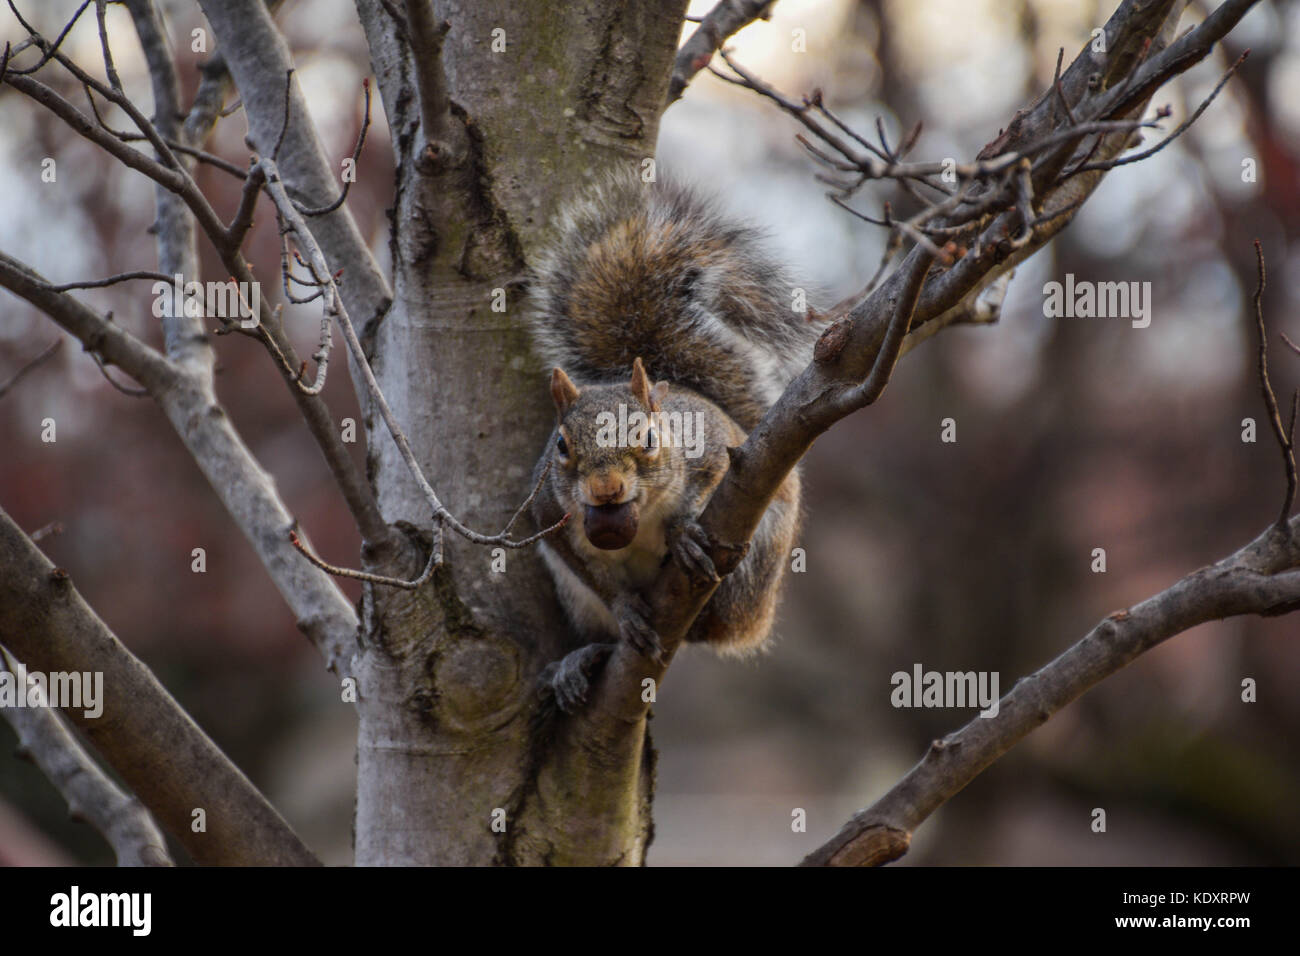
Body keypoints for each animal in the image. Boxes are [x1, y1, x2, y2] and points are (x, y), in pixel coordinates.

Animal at [525, 170, 811, 712]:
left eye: (649, 436)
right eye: (562, 447)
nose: (606, 489)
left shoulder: (715, 446)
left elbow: (714, 477)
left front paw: (680, 532)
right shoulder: (549, 514)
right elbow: (587, 568)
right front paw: (626, 610)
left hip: (753, 564)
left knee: (716, 624)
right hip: (577, 601)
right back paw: (583, 660)